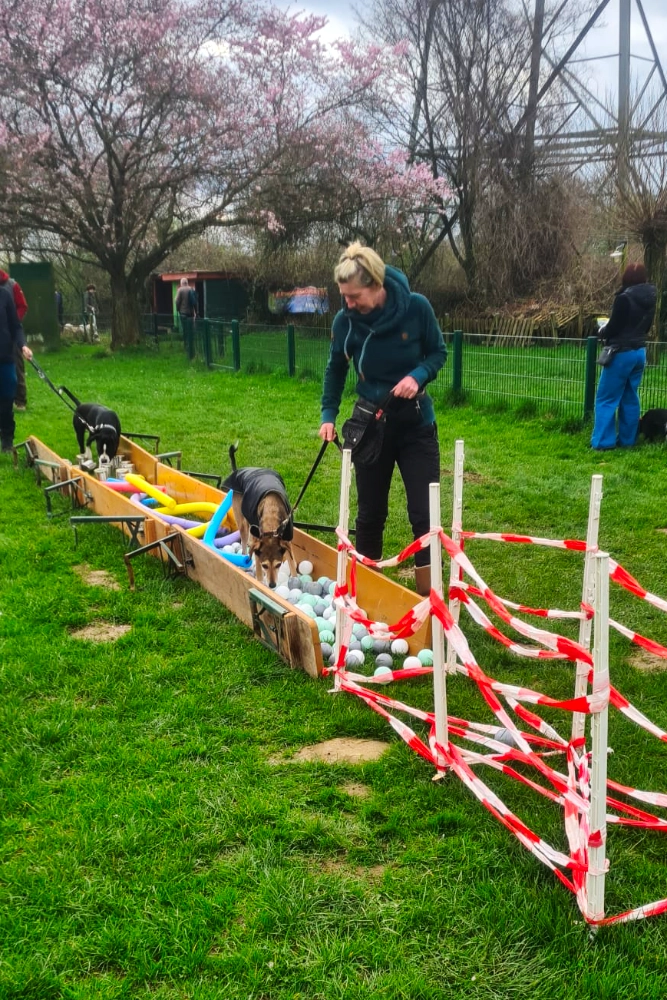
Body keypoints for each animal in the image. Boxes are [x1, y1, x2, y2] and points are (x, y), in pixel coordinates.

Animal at [223, 444, 296, 588]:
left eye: (278, 564)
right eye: (265, 566)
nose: (272, 585)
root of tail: (238, 470)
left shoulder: (287, 541)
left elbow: (292, 564)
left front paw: (296, 580)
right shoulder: (258, 548)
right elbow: (258, 571)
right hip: (242, 522)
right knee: (244, 544)